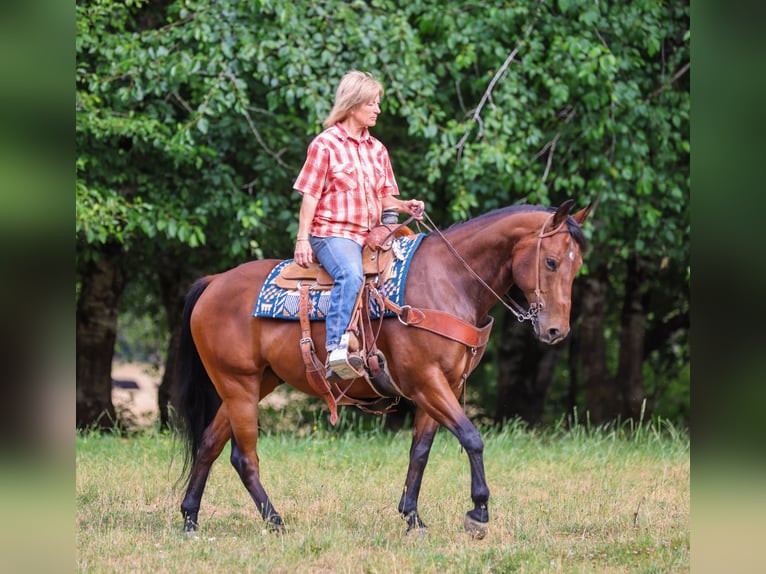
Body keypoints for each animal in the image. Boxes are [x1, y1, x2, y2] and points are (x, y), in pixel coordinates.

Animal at [176, 200, 591, 537]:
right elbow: (472, 437)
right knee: (244, 456)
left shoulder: (444, 386)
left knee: (210, 444)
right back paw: (275, 521)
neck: (447, 281)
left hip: (254, 384)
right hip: (238, 384)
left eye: (578, 266)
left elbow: (420, 451)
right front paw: (479, 512)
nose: (556, 331)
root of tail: (214, 282)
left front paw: (413, 518)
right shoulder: (426, 382)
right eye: (551, 262)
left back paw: (191, 518)